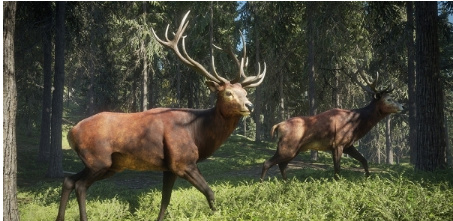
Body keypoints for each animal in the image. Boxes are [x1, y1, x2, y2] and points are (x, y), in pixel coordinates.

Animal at [55, 11, 264, 221]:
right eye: (228, 93)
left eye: (245, 93)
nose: (250, 105)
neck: (197, 133)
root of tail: (71, 132)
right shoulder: (183, 162)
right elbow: (210, 192)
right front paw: (218, 214)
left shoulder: (169, 168)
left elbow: (165, 199)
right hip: (99, 159)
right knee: (80, 185)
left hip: (108, 164)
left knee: (68, 180)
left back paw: (60, 217)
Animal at [262, 71, 402, 180]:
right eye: (388, 99)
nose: (402, 106)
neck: (356, 125)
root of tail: (277, 126)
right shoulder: (337, 144)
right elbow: (337, 169)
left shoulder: (348, 145)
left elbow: (363, 160)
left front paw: (368, 178)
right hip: (287, 147)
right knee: (267, 163)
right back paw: (262, 184)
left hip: (294, 150)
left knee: (282, 165)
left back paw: (286, 182)